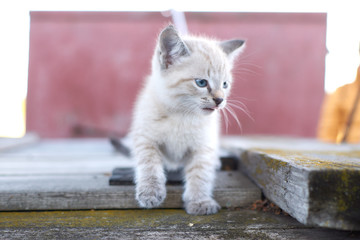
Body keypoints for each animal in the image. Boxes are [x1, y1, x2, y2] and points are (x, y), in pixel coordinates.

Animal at [129, 25, 245, 215]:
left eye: (225, 84)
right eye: (201, 83)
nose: (220, 100)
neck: (182, 115)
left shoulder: (203, 146)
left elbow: (200, 174)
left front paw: (200, 202)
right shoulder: (145, 138)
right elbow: (149, 164)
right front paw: (150, 193)